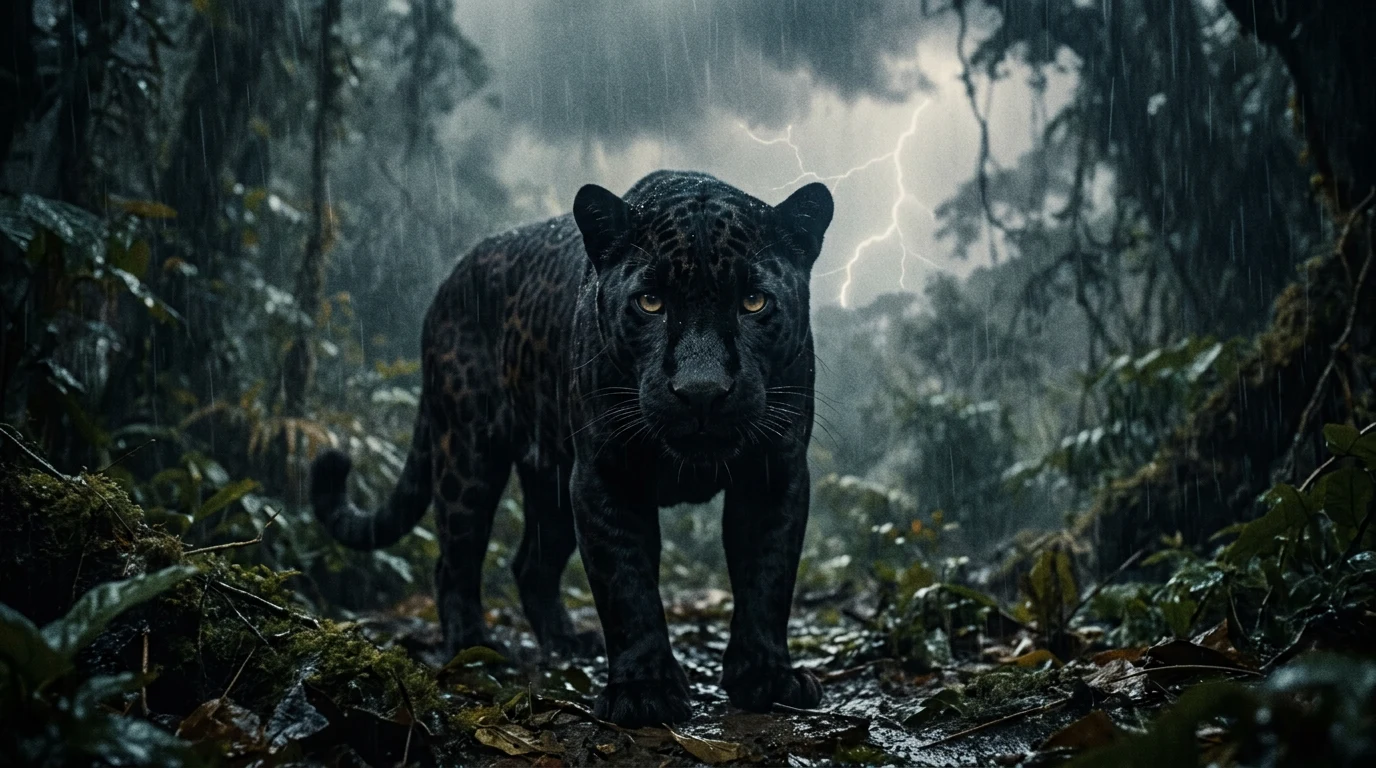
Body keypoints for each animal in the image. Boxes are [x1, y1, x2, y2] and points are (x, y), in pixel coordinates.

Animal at [309, 169, 834, 727]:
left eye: (754, 302)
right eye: (650, 302)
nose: (701, 390)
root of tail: (451, 278)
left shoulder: (773, 474)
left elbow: (766, 578)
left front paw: (766, 678)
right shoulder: (606, 475)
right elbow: (626, 584)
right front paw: (644, 691)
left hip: (551, 485)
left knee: (531, 565)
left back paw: (565, 642)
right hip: (468, 454)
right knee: (455, 560)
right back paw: (476, 650)